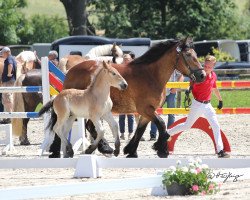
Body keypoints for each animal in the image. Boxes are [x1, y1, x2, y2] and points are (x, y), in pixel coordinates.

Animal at [49, 37, 206, 158]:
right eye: (188, 55)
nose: (202, 75)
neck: (150, 75)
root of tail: (71, 70)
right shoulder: (146, 109)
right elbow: (161, 124)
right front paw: (162, 149)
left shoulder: (147, 112)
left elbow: (140, 130)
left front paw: (131, 151)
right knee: (64, 126)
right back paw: (59, 151)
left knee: (86, 127)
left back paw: (102, 148)